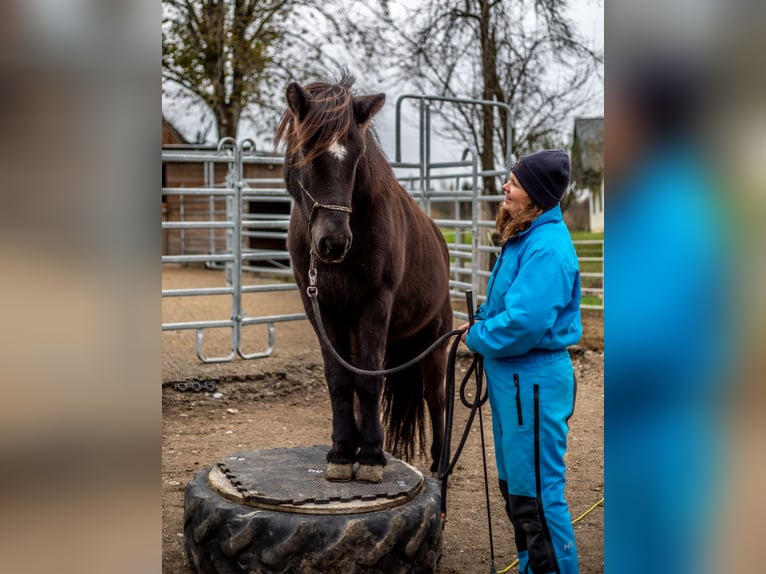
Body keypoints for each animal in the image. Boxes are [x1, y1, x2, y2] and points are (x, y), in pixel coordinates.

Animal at [278, 73, 452, 486]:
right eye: (306, 150)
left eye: (356, 156)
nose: (334, 241)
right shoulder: (321, 308)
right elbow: (341, 381)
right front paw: (343, 453)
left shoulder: (375, 303)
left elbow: (370, 380)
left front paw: (371, 457)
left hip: (434, 339)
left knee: (435, 397)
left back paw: (439, 460)